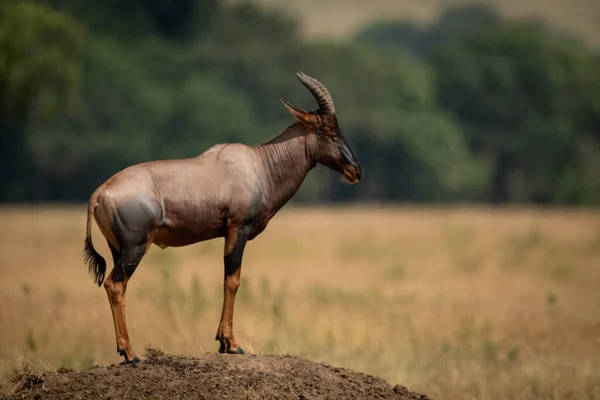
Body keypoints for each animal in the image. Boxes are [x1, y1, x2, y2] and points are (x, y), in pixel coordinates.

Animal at [83, 71, 360, 362]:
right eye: (328, 130)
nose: (356, 170)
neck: (259, 165)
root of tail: (100, 192)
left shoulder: (227, 233)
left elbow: (227, 279)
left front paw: (222, 342)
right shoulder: (239, 229)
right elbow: (233, 280)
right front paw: (231, 343)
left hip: (118, 249)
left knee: (119, 286)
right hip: (135, 248)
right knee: (115, 285)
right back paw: (131, 353)